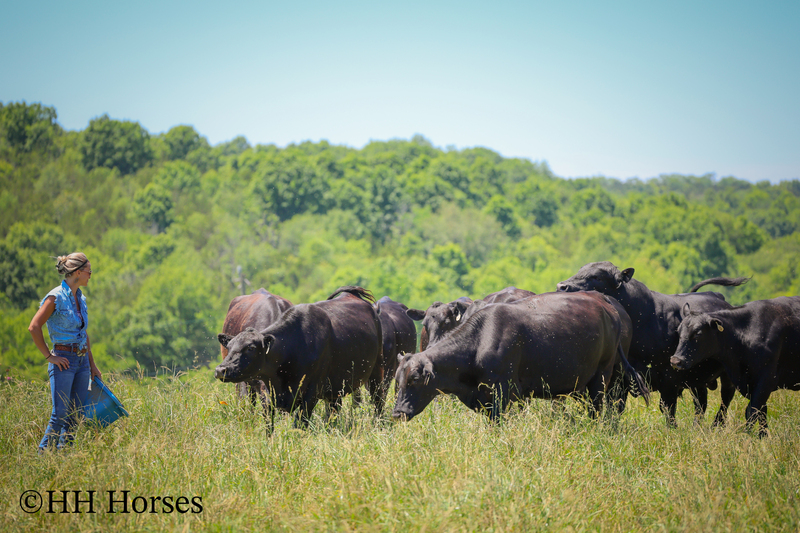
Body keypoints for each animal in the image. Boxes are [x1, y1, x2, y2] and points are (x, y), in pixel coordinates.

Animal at [215, 286, 382, 432]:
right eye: (229, 346)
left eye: (250, 348)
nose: (221, 370)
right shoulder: (268, 393)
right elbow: (269, 425)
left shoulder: (311, 392)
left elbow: (299, 424)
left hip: (377, 373)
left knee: (378, 402)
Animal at [392, 291, 649, 422]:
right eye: (398, 380)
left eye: (415, 379)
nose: (398, 412)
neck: (481, 339)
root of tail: (608, 307)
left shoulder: (503, 395)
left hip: (602, 378)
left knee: (601, 411)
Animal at [556, 261, 749, 426]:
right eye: (580, 270)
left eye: (596, 277)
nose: (561, 286)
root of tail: (716, 295)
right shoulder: (619, 378)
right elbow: (615, 406)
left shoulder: (669, 377)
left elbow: (668, 409)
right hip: (697, 379)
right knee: (701, 403)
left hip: (727, 375)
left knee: (725, 399)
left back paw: (717, 425)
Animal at [670, 296, 800, 437]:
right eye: (678, 331)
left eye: (698, 334)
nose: (675, 361)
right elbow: (761, 411)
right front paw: (763, 436)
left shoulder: (766, 379)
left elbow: (752, 411)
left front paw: (747, 435)